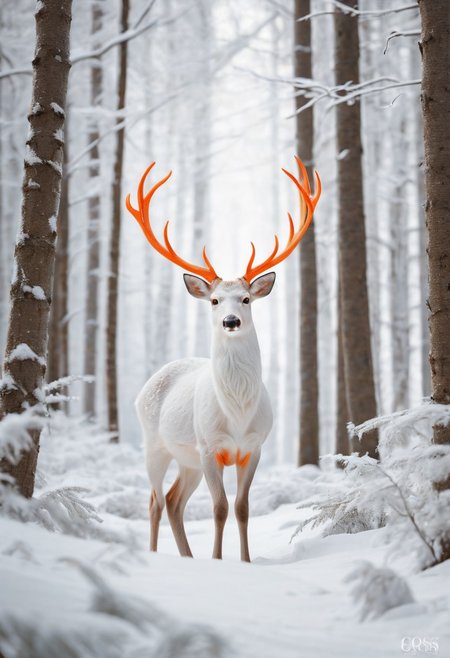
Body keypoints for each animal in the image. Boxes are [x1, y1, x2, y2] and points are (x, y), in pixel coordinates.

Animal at [126, 157, 321, 562]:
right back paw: (157, 554)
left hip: (187, 460)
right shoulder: (209, 446)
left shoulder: (253, 447)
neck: (236, 413)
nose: (231, 320)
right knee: (154, 500)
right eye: (215, 300)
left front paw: (244, 561)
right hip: (156, 445)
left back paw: (187, 556)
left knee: (174, 501)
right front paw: (218, 560)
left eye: (246, 299)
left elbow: (242, 508)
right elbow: (219, 508)